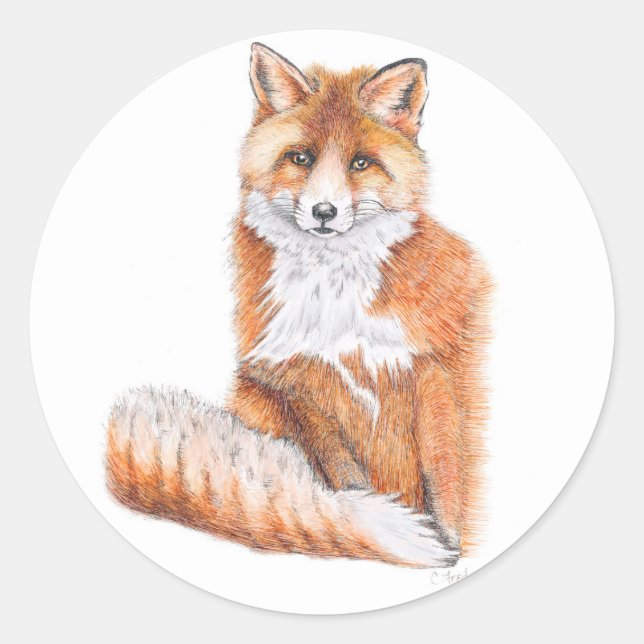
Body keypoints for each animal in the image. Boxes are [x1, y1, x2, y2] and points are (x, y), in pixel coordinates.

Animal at [105, 43, 492, 568]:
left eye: (360, 164)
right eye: (301, 158)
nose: (324, 212)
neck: (336, 302)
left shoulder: (435, 368)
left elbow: (445, 466)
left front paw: (452, 541)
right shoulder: (290, 377)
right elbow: (342, 471)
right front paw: (368, 514)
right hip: (253, 394)